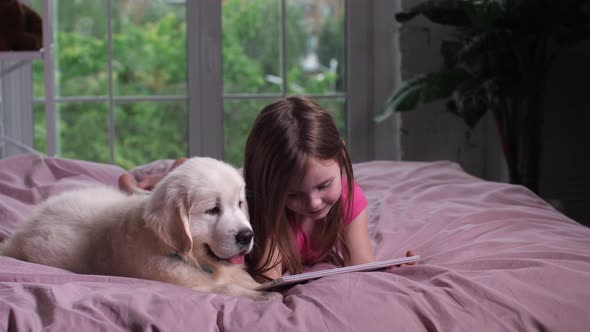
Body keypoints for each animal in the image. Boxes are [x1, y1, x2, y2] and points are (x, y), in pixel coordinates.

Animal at [0, 156, 282, 300]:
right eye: (213, 210)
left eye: (240, 204)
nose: (247, 235)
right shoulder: (182, 282)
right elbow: (223, 289)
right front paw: (264, 296)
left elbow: (245, 280)